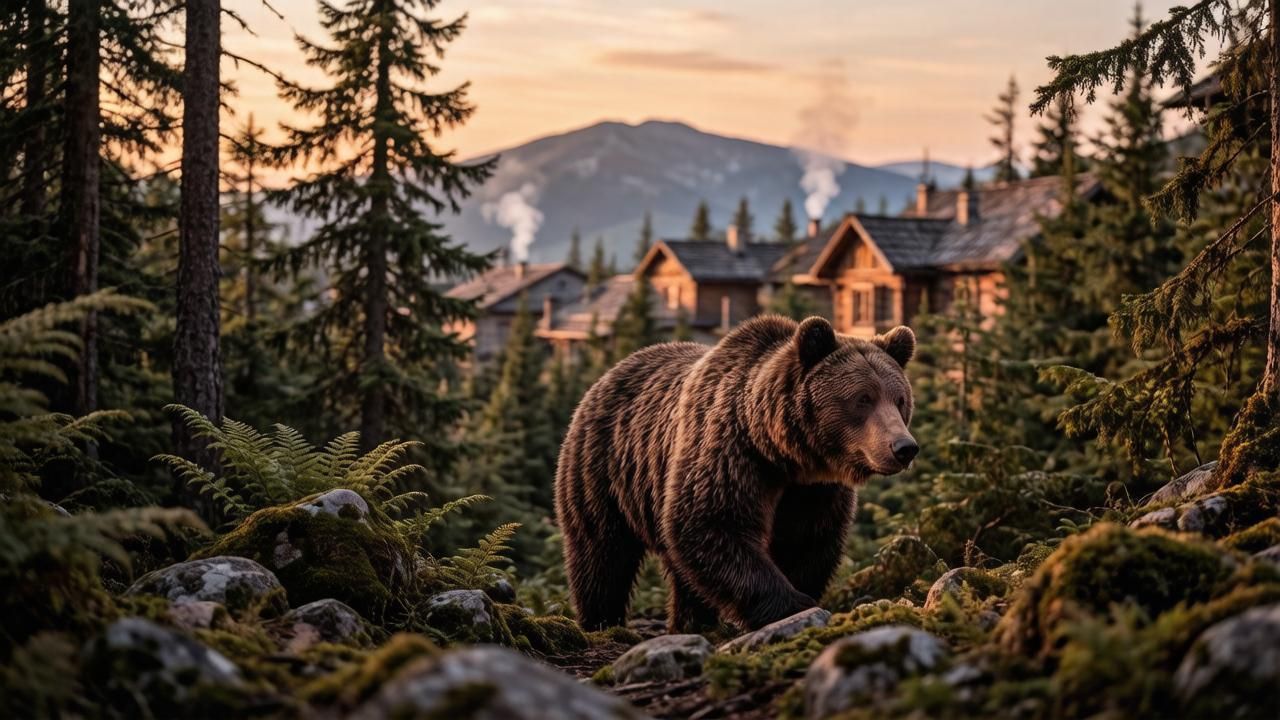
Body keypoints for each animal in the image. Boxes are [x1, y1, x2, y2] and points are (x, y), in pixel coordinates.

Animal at [554, 315, 918, 633]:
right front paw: (793, 604)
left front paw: (800, 594)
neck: (784, 453)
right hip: (605, 469)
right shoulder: (731, 453)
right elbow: (713, 522)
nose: (903, 447)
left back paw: (691, 622)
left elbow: (807, 541)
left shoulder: (814, 490)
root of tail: (609, 373)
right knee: (601, 552)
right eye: (862, 398)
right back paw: (601, 619)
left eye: (899, 399)